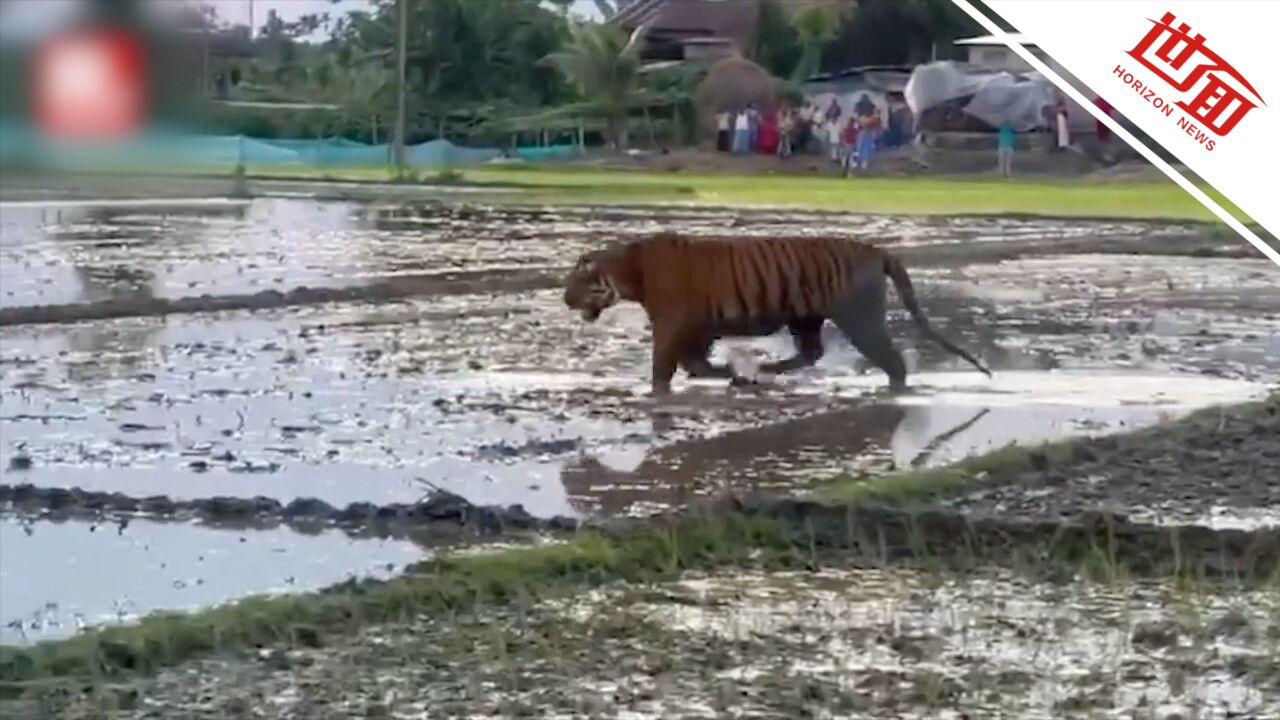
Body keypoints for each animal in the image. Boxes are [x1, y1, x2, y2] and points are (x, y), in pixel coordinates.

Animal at [560, 229, 988, 394]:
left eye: (575, 281)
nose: (564, 300)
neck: (626, 270)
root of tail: (878, 250)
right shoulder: (697, 328)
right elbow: (694, 362)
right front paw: (732, 375)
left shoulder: (672, 325)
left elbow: (665, 365)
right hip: (805, 317)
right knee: (812, 352)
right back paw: (765, 370)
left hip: (859, 319)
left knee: (893, 362)